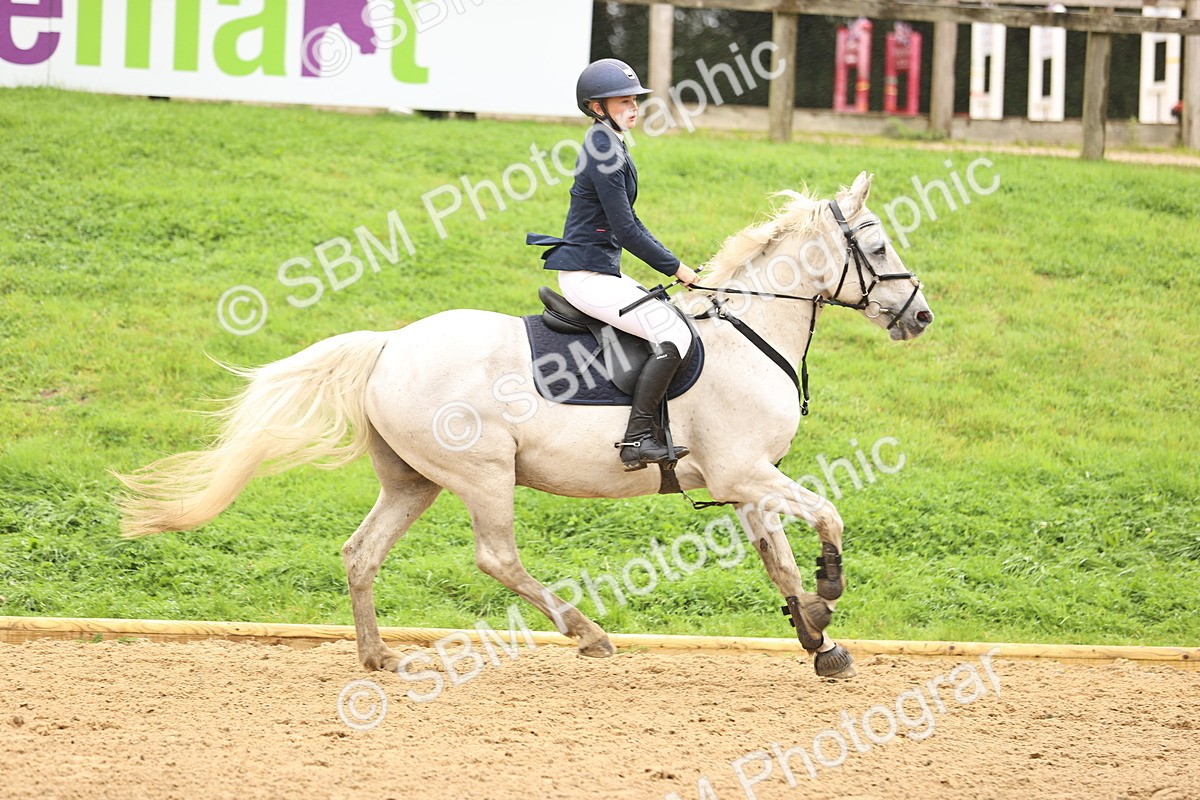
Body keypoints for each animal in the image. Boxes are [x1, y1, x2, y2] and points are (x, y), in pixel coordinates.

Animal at [115, 172, 933, 679]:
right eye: (879, 246)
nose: (920, 316)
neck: (748, 329)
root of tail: (388, 345)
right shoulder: (745, 472)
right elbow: (827, 516)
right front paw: (829, 593)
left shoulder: (744, 483)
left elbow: (778, 560)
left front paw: (819, 639)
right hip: (483, 475)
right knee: (497, 558)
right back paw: (588, 633)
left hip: (413, 482)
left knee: (360, 552)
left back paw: (378, 657)